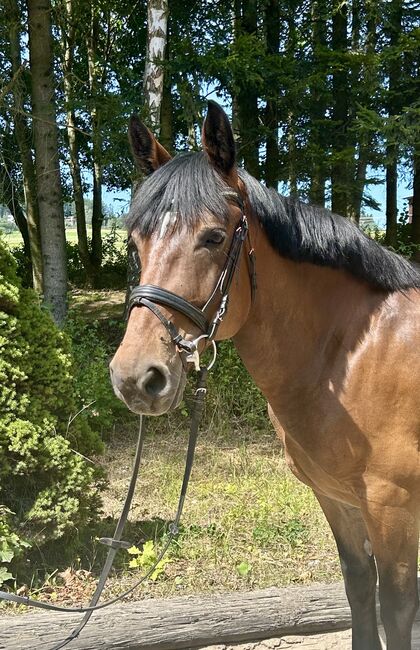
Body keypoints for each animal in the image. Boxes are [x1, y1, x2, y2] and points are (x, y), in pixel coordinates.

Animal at [110, 101, 420, 648]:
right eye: (135, 242)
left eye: (214, 237)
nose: (135, 378)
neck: (355, 357)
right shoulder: (338, 502)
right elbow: (360, 590)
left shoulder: (394, 510)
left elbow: (398, 610)